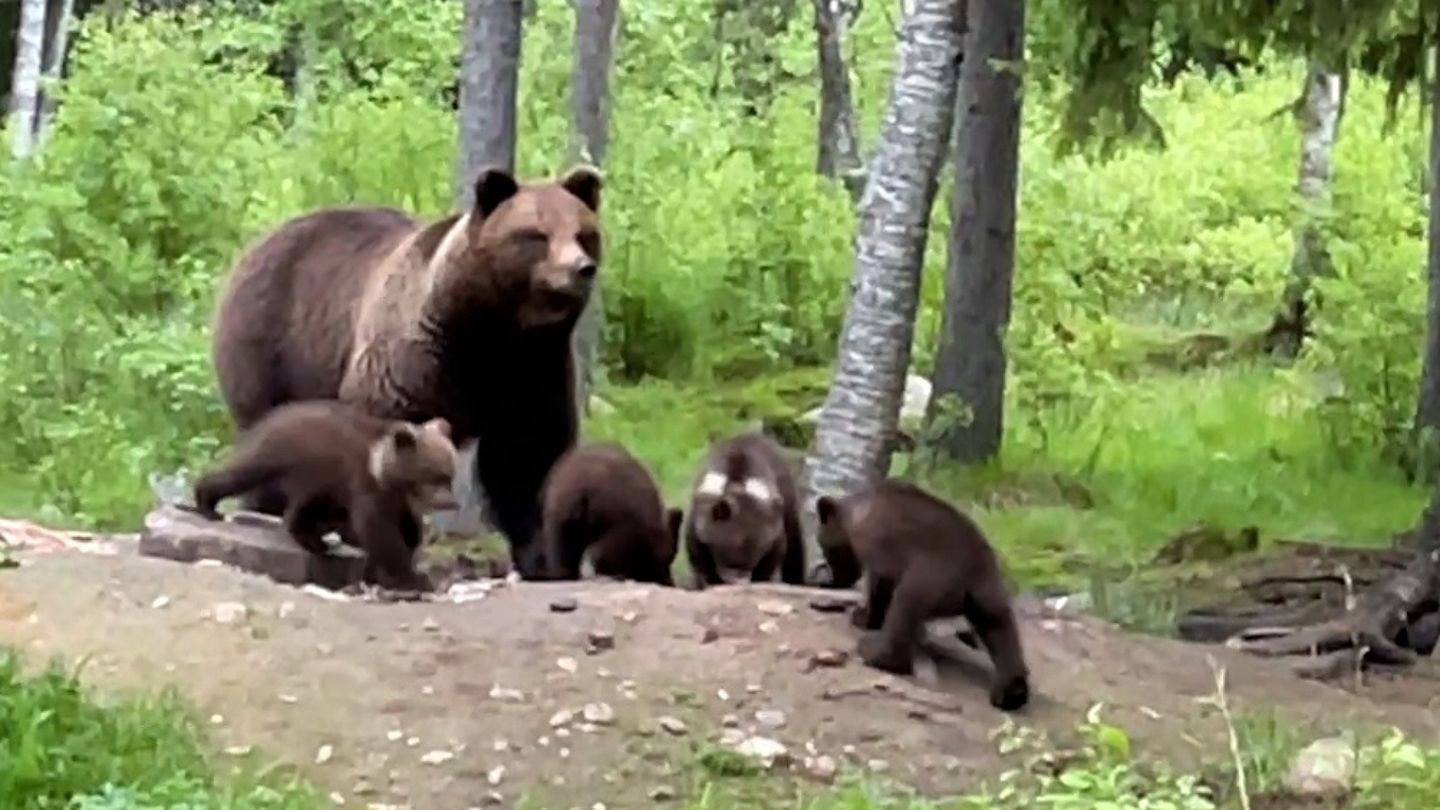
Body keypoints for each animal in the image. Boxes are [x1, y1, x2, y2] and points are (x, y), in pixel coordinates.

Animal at [191, 400, 459, 591]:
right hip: (284, 457)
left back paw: (316, 542)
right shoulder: (364, 484)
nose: (450, 502)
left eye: (450, 475)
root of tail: (268, 417)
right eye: (434, 475)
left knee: (304, 509)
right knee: (239, 474)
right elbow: (379, 530)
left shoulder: (394, 498)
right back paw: (207, 503)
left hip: (316, 478)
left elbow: (407, 527)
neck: (382, 470)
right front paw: (410, 577)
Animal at [208, 165, 603, 579]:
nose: (581, 269)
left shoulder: (534, 372)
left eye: (584, 233)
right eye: (537, 235)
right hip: (273, 348)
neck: (493, 332)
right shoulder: (416, 362)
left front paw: (541, 558)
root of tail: (260, 240)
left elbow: (528, 458)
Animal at [537, 442, 683, 585]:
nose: (669, 582)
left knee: (562, 553)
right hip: (616, 524)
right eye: (669, 556)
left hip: (558, 519)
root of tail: (581, 491)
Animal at [683, 431, 806, 588]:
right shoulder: (698, 523)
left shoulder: (773, 527)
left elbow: (773, 555)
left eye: (754, 558)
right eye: (729, 557)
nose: (738, 582)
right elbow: (700, 557)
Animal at [814, 479, 1031, 712]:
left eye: (826, 548)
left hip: (928, 576)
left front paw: (864, 617)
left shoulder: (884, 551)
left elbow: (879, 587)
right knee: (1002, 629)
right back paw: (1011, 691)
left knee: (904, 608)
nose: (831, 578)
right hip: (988, 593)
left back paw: (873, 651)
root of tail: (972, 576)